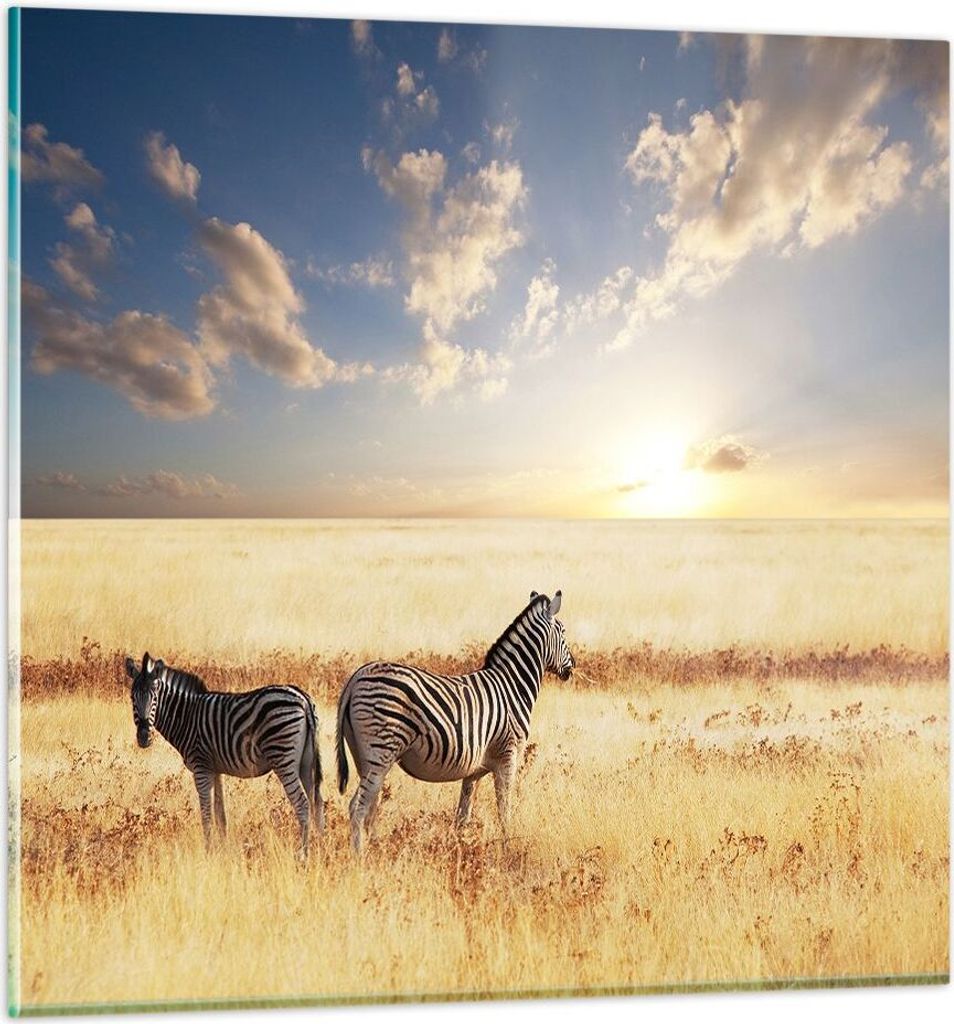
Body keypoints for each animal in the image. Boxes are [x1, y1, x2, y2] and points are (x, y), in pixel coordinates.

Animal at [125, 653, 325, 854]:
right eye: (132, 698)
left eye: (155, 699)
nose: (144, 737)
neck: (186, 716)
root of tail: (303, 699)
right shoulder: (215, 769)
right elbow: (220, 815)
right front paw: (222, 849)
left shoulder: (201, 767)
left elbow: (206, 814)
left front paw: (207, 850)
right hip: (305, 763)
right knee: (317, 802)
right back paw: (320, 846)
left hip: (283, 757)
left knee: (302, 804)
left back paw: (303, 853)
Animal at [335, 590, 574, 853]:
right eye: (563, 631)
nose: (572, 667)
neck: (512, 686)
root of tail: (356, 678)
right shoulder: (508, 756)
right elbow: (504, 809)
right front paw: (507, 848)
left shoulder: (475, 769)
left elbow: (463, 816)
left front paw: (460, 850)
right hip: (380, 752)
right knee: (357, 808)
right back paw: (360, 857)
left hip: (364, 757)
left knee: (368, 807)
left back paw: (377, 850)